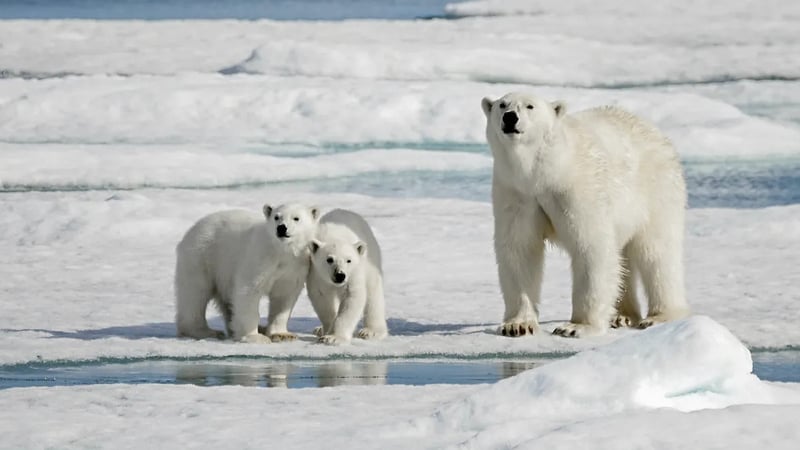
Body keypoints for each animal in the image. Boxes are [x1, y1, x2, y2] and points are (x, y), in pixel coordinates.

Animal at [175, 202, 318, 342]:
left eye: (296, 218)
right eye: (276, 217)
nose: (281, 228)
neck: (281, 252)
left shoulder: (294, 267)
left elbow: (283, 297)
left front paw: (282, 335)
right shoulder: (259, 259)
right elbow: (248, 291)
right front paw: (255, 336)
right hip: (202, 256)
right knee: (195, 293)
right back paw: (206, 331)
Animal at [306, 209, 388, 346]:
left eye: (348, 260)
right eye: (329, 259)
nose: (340, 275)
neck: (335, 236)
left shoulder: (354, 274)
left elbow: (352, 298)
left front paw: (333, 337)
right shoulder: (316, 273)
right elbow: (322, 298)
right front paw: (326, 331)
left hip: (370, 259)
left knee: (373, 293)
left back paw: (371, 331)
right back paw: (318, 329)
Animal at [484, 92, 692, 338]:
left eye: (530, 106)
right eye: (502, 104)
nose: (510, 117)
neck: (545, 172)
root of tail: (658, 134)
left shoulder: (577, 189)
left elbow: (591, 247)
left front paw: (575, 327)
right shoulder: (517, 194)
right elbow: (519, 250)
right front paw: (517, 325)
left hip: (657, 191)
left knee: (656, 252)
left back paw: (659, 317)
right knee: (624, 257)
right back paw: (621, 316)